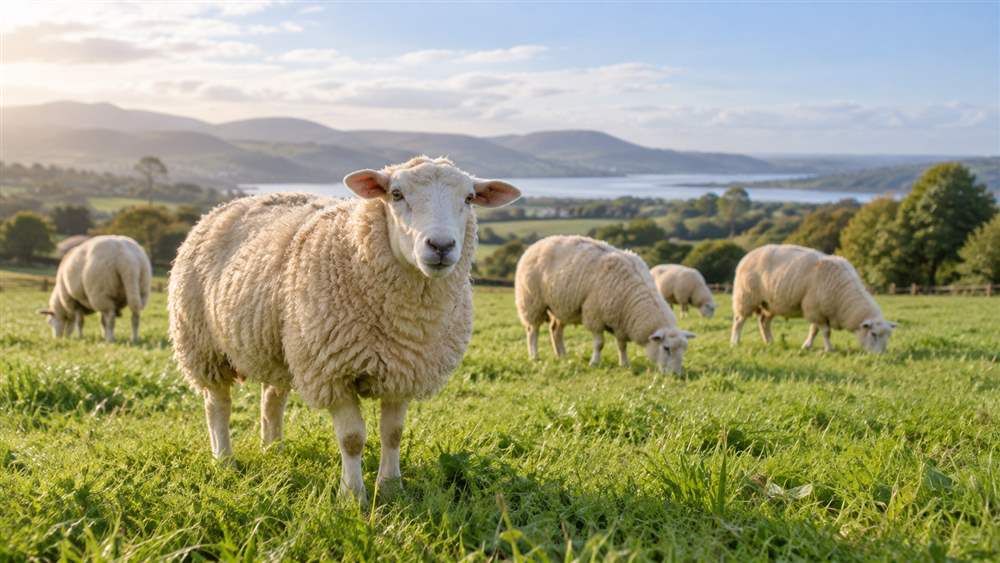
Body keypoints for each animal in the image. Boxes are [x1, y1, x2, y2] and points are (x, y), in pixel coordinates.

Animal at [167, 156, 520, 502]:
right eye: (396, 194)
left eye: (469, 198)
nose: (441, 245)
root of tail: (223, 207)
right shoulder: (333, 372)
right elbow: (352, 438)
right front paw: (352, 496)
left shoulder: (404, 370)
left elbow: (393, 434)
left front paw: (391, 487)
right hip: (202, 345)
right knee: (218, 405)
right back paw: (224, 460)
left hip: (281, 345)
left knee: (271, 399)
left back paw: (274, 450)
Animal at [515, 235, 695, 374]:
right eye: (666, 348)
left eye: (684, 349)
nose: (676, 374)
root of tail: (539, 242)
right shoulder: (594, 315)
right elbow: (599, 344)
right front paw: (594, 362)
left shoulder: (621, 322)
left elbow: (622, 345)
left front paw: (625, 364)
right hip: (532, 302)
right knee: (533, 331)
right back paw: (534, 356)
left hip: (561, 306)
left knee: (555, 330)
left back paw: (562, 355)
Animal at [730, 244, 896, 353]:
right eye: (873, 334)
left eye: (889, 335)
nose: (881, 355)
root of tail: (748, 255)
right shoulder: (814, 309)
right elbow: (826, 332)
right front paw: (829, 349)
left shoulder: (817, 311)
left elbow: (814, 330)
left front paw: (807, 346)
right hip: (746, 297)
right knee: (739, 321)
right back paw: (735, 342)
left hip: (770, 304)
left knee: (764, 322)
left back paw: (770, 342)